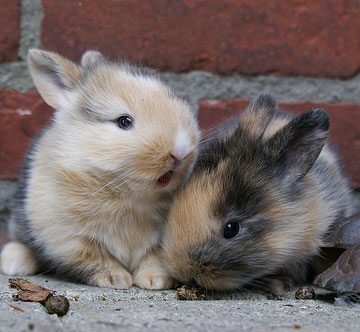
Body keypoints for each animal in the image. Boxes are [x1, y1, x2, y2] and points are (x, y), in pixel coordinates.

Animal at [0, 48, 200, 290]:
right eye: (124, 121)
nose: (180, 150)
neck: (125, 195)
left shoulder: (161, 240)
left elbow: (153, 257)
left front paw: (155, 280)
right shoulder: (69, 239)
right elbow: (95, 259)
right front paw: (116, 280)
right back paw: (14, 263)